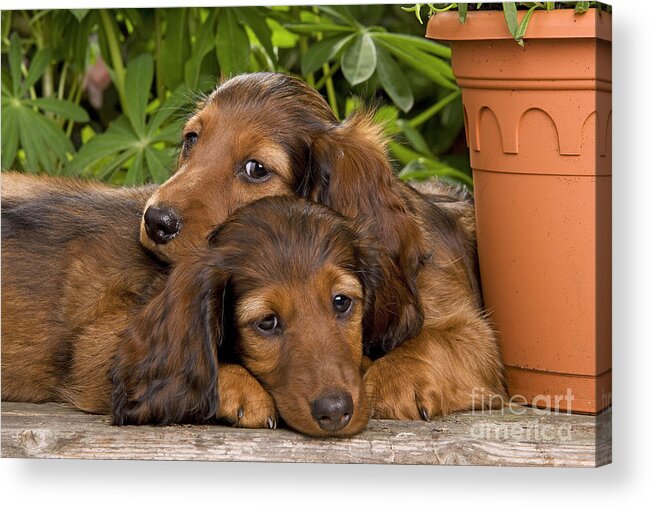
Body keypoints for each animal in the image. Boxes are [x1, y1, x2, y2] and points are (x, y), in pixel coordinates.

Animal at [140, 71, 510, 420]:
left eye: (256, 168)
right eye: (192, 139)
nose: (156, 221)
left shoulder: (478, 336)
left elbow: (437, 341)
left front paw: (391, 380)